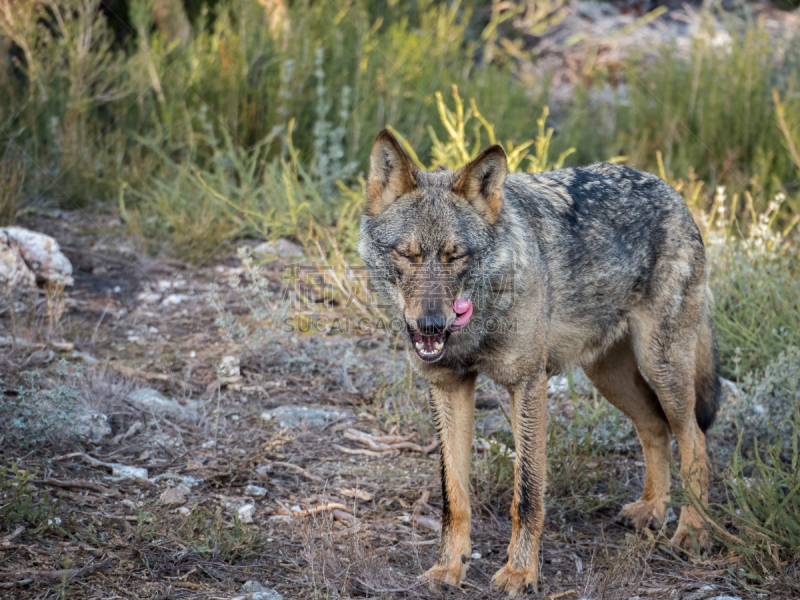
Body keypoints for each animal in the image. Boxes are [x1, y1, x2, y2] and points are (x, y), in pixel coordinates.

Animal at [356, 131, 720, 596]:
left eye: (456, 256)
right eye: (408, 254)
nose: (431, 325)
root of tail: (672, 191)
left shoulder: (527, 385)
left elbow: (527, 495)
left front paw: (520, 572)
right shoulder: (448, 387)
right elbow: (453, 497)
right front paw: (448, 569)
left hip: (662, 367)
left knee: (694, 438)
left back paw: (694, 531)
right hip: (609, 377)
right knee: (655, 427)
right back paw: (653, 510)